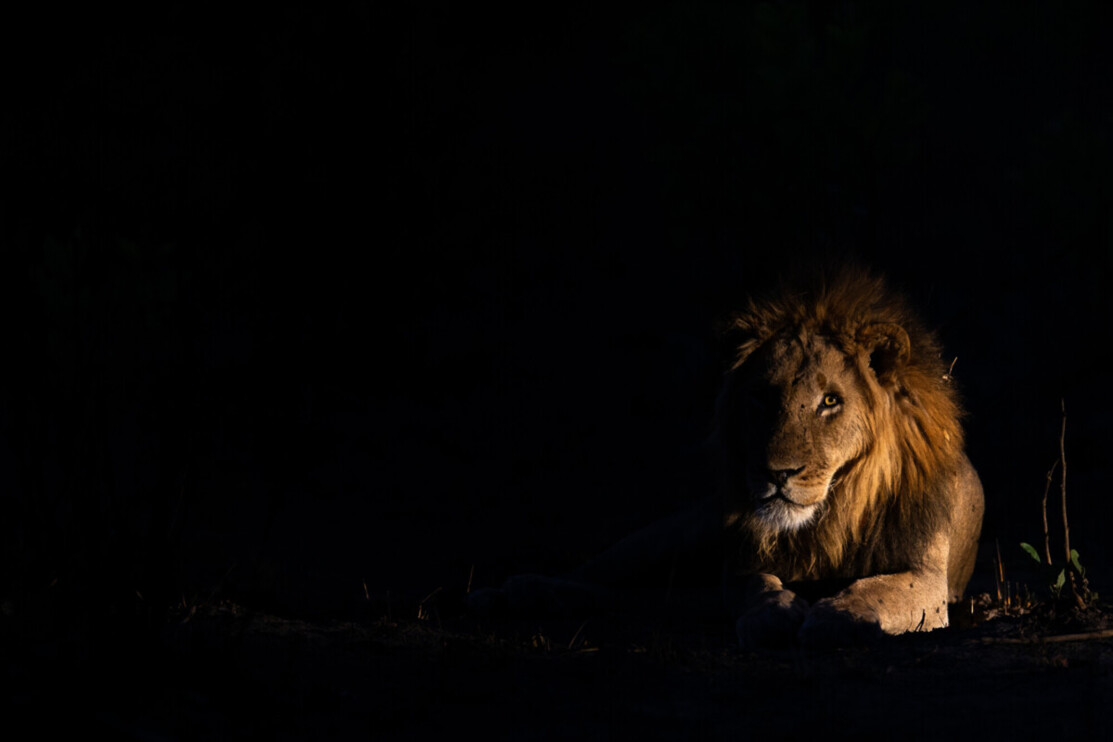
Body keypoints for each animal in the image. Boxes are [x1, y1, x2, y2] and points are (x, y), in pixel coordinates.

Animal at [470, 270, 984, 648]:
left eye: (831, 401)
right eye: (762, 395)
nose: (777, 474)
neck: (831, 516)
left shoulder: (927, 578)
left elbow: (879, 588)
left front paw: (839, 616)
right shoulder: (739, 558)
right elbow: (756, 584)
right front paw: (773, 614)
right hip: (674, 534)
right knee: (602, 575)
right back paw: (513, 591)